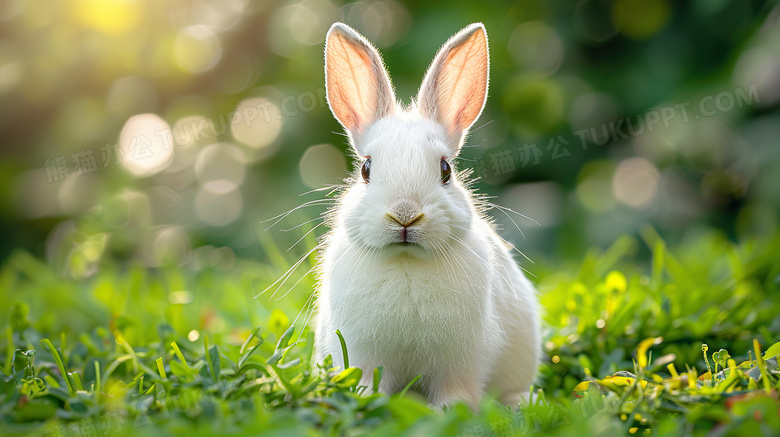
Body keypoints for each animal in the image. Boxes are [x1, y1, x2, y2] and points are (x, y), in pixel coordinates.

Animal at [314, 21, 540, 408]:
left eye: (446, 170)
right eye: (366, 169)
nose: (405, 215)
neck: (407, 260)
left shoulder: (461, 360)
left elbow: (456, 391)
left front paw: (452, 410)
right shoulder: (363, 355)